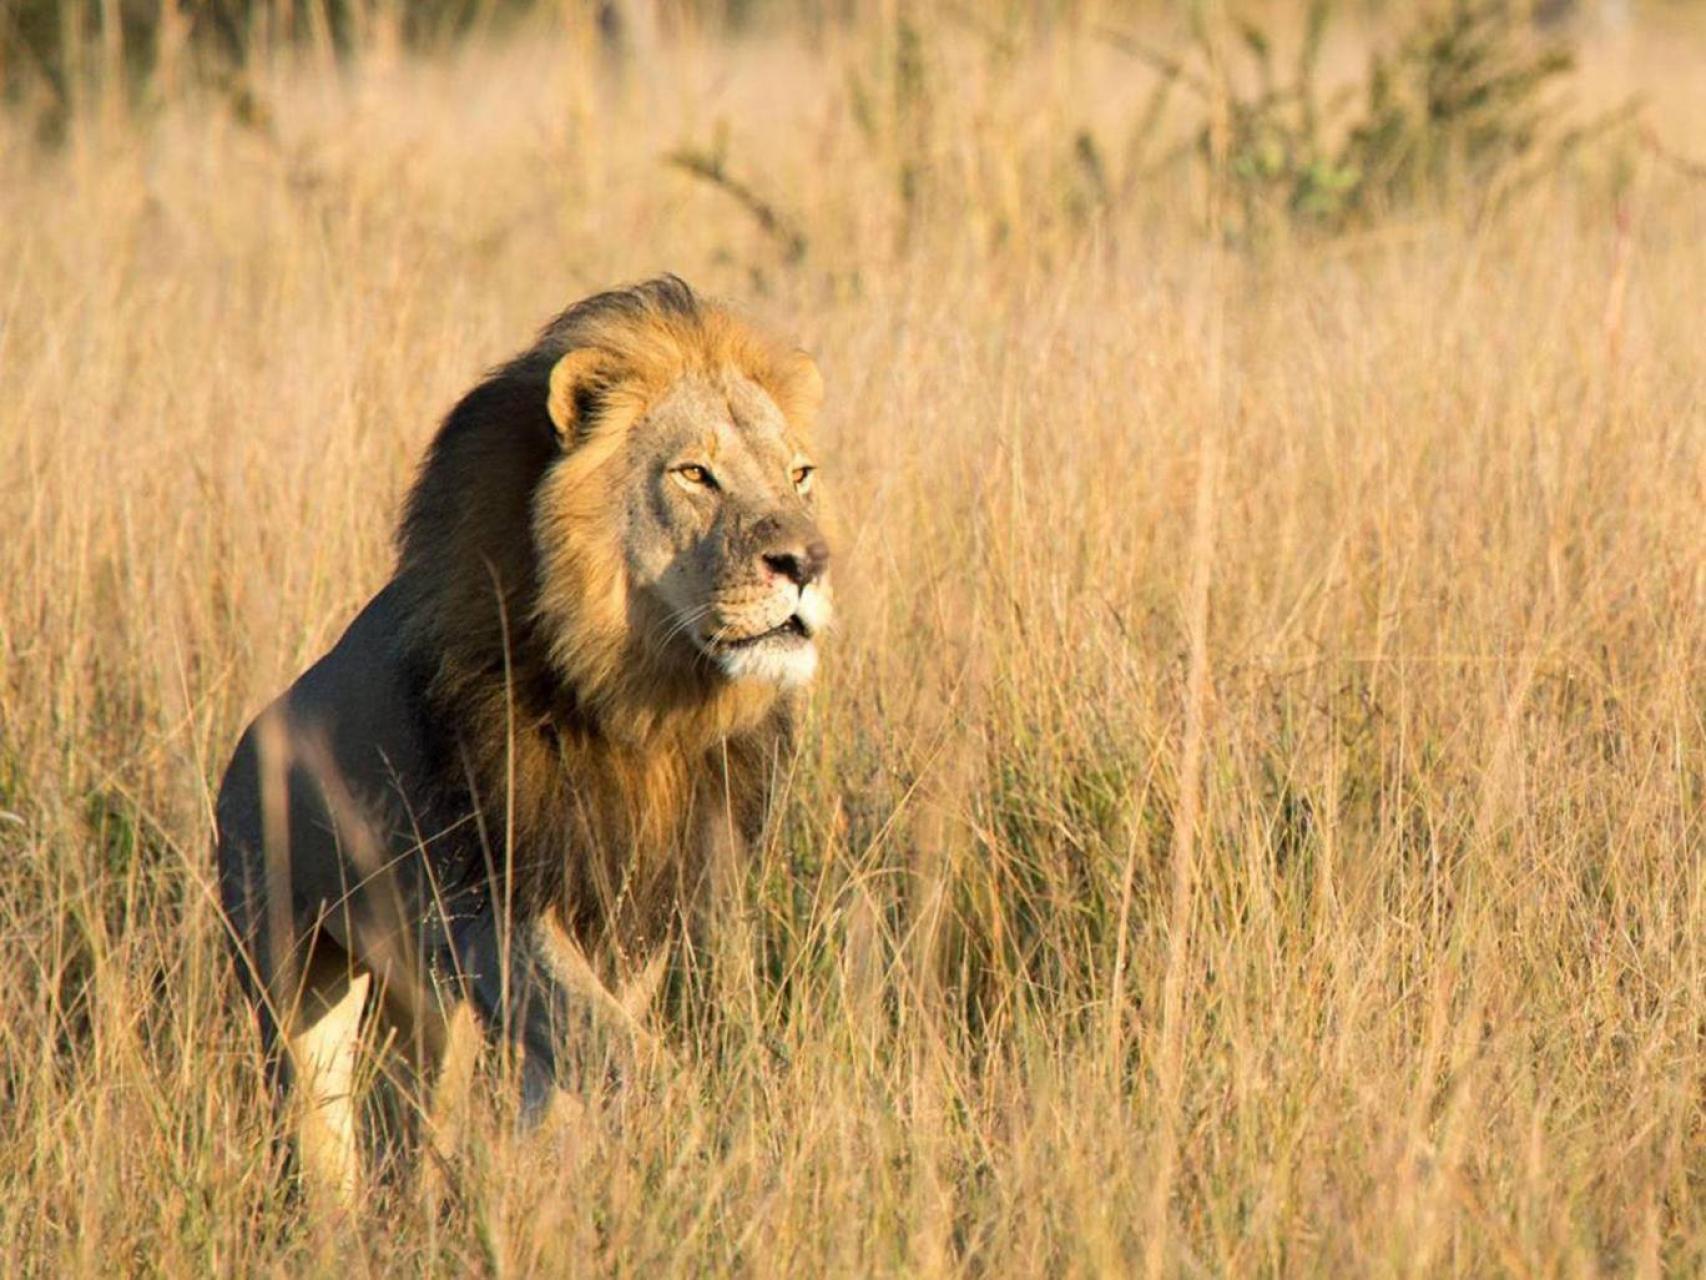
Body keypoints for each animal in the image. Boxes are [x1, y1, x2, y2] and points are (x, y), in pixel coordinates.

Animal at [216, 276, 829, 1201]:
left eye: (799, 474)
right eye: (695, 473)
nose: (807, 563)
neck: (642, 703)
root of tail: (246, 746)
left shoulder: (641, 907)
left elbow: (576, 1057)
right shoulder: (492, 904)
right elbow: (604, 1038)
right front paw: (699, 1134)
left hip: (423, 1005)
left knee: (413, 1110)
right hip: (288, 963)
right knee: (319, 1111)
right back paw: (335, 1212)